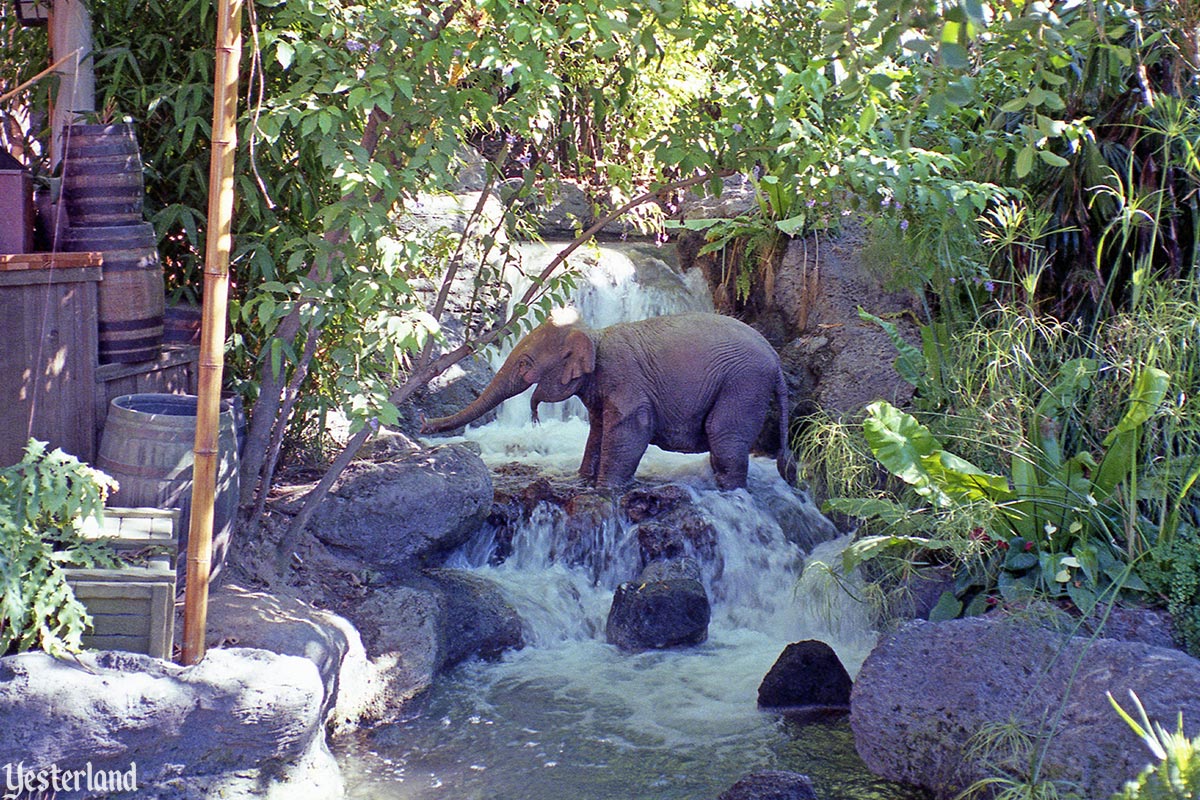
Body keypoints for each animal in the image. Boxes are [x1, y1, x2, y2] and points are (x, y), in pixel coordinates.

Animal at [422, 311, 796, 489]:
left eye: (526, 364)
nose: (424, 424)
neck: (594, 334)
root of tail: (776, 360)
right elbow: (598, 430)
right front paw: (583, 481)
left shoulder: (627, 380)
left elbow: (631, 430)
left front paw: (605, 489)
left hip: (744, 383)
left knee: (723, 436)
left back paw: (729, 491)